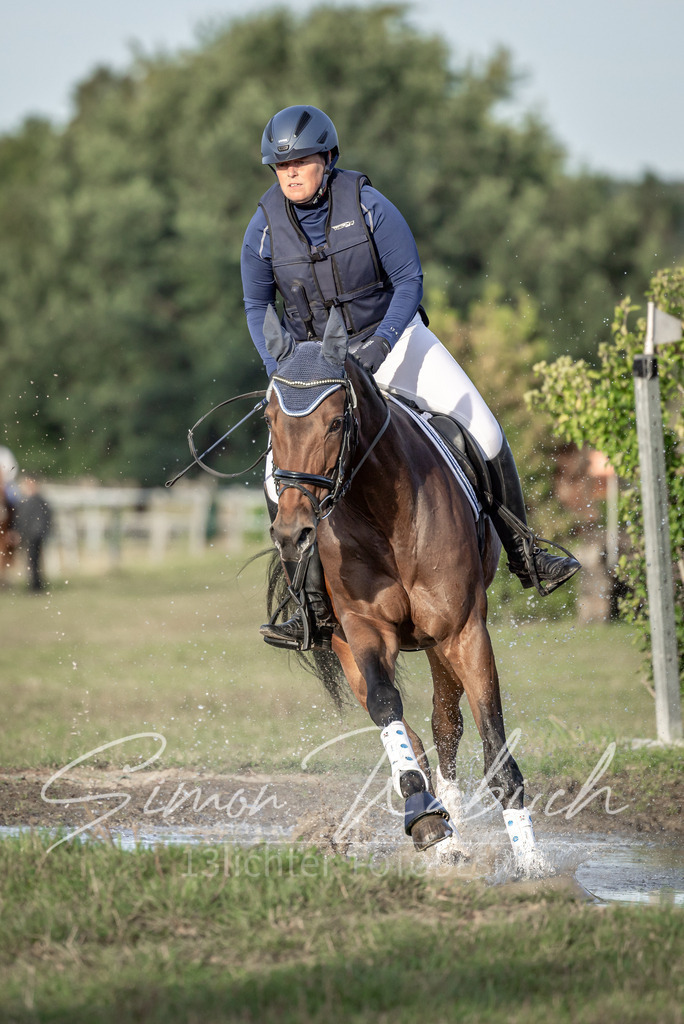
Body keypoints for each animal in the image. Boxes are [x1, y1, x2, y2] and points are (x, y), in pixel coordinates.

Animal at [262, 306, 537, 860]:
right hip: (348, 644)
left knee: (445, 723)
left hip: (439, 641)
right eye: (269, 419)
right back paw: (441, 823)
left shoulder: (464, 631)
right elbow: (388, 706)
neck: (382, 512)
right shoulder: (363, 629)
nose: (292, 533)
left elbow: (494, 744)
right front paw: (425, 821)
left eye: (336, 421)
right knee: (411, 729)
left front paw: (533, 863)